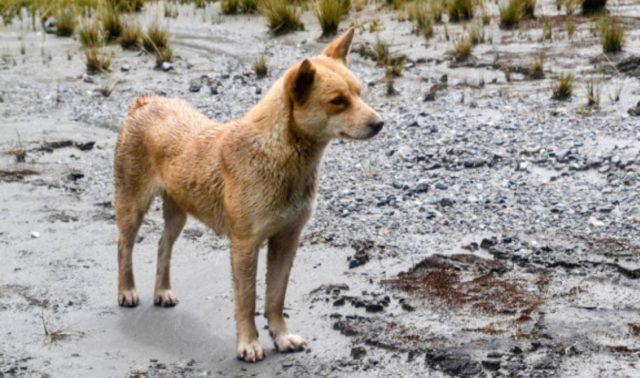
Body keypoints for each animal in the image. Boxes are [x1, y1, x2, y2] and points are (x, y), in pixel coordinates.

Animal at [114, 28, 382, 362]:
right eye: (337, 101)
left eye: (359, 92)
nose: (380, 123)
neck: (280, 156)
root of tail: (145, 102)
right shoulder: (245, 244)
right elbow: (247, 301)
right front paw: (249, 343)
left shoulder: (287, 239)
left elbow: (275, 298)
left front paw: (281, 337)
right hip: (132, 205)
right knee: (124, 247)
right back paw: (126, 290)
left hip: (179, 211)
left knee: (164, 246)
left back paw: (162, 291)